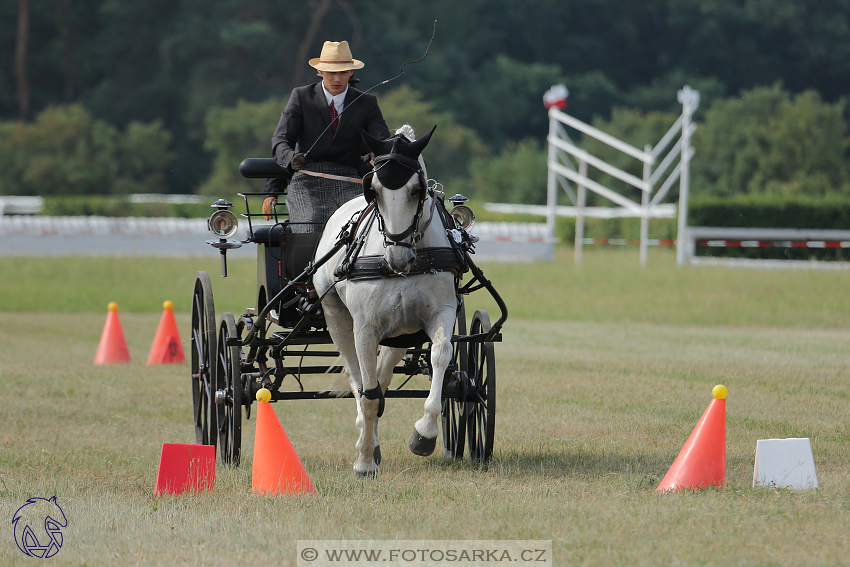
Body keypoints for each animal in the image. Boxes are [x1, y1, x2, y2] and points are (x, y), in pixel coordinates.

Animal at [312, 124, 458, 474]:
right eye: (374, 190)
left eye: (418, 190)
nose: (397, 257)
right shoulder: (365, 328)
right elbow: (366, 392)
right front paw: (365, 461)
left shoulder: (442, 312)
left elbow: (441, 355)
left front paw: (424, 434)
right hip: (336, 317)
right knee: (358, 379)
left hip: (401, 332)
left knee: (382, 377)